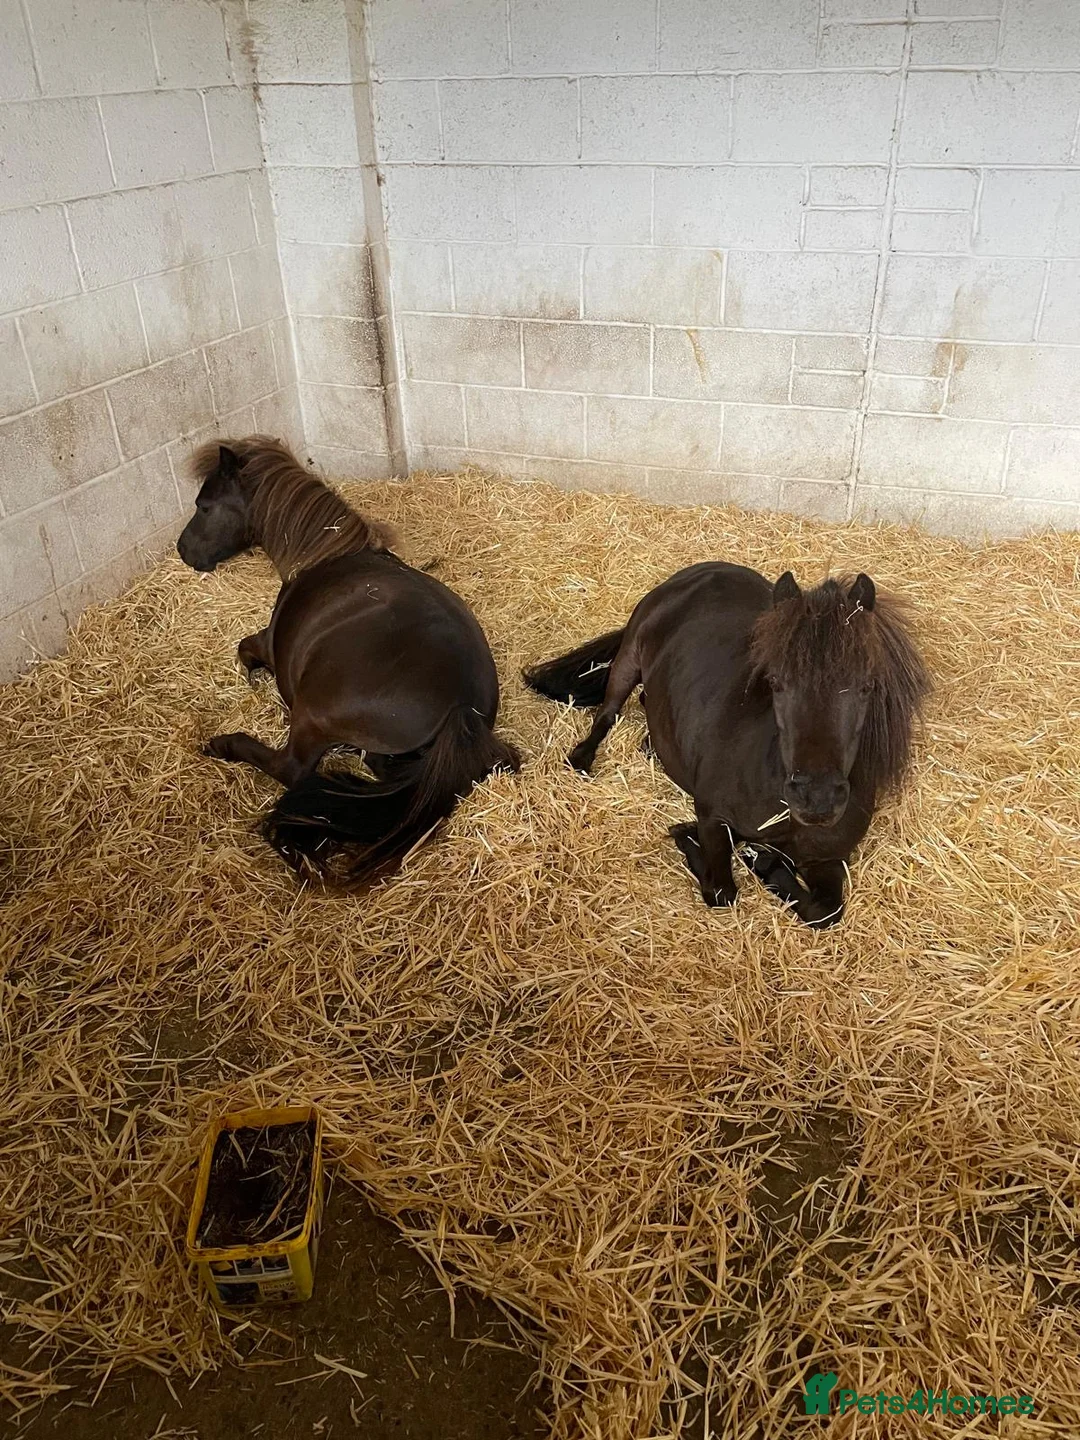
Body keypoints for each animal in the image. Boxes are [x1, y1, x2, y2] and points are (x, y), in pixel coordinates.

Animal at [176, 436, 519, 884]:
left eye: (204, 506)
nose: (183, 550)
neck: (324, 553)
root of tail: (461, 705)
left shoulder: (268, 643)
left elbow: (244, 648)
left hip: (311, 718)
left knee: (291, 768)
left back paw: (226, 744)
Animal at [524, 563, 929, 928]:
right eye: (776, 682)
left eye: (867, 686)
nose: (817, 799)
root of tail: (700, 571)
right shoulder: (713, 819)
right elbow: (721, 891)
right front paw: (700, 841)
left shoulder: (829, 859)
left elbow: (824, 911)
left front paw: (764, 862)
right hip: (628, 660)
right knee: (608, 714)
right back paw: (581, 758)